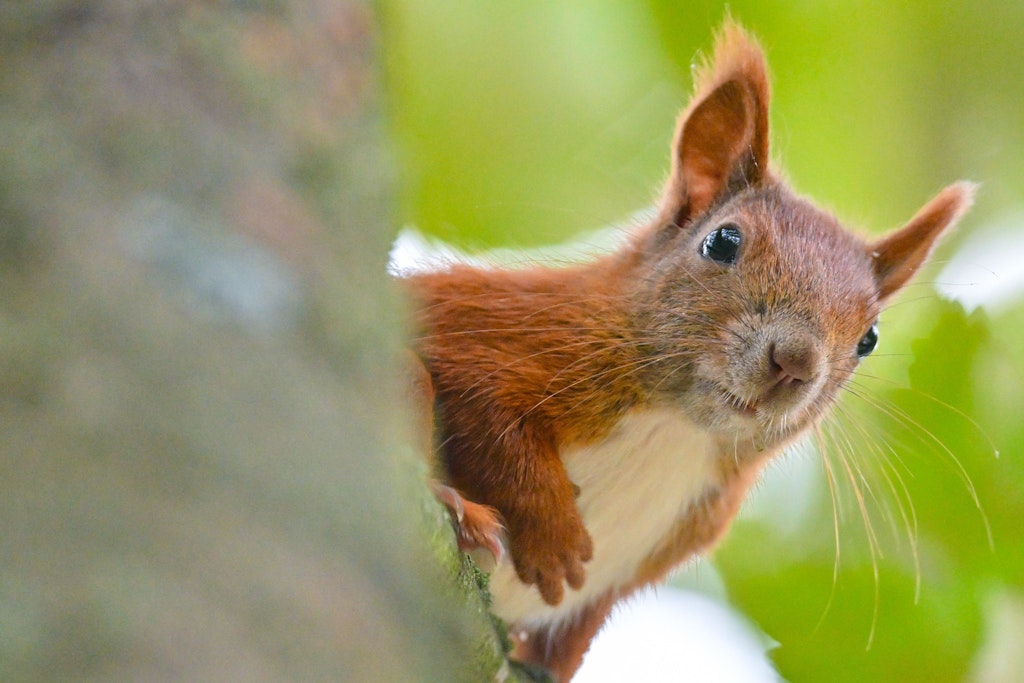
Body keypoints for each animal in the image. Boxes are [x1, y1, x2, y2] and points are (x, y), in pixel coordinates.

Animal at [399, 22, 966, 683]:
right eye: (722, 241)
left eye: (869, 338)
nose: (795, 362)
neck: (676, 427)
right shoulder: (496, 330)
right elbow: (490, 414)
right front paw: (553, 536)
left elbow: (580, 628)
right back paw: (460, 513)